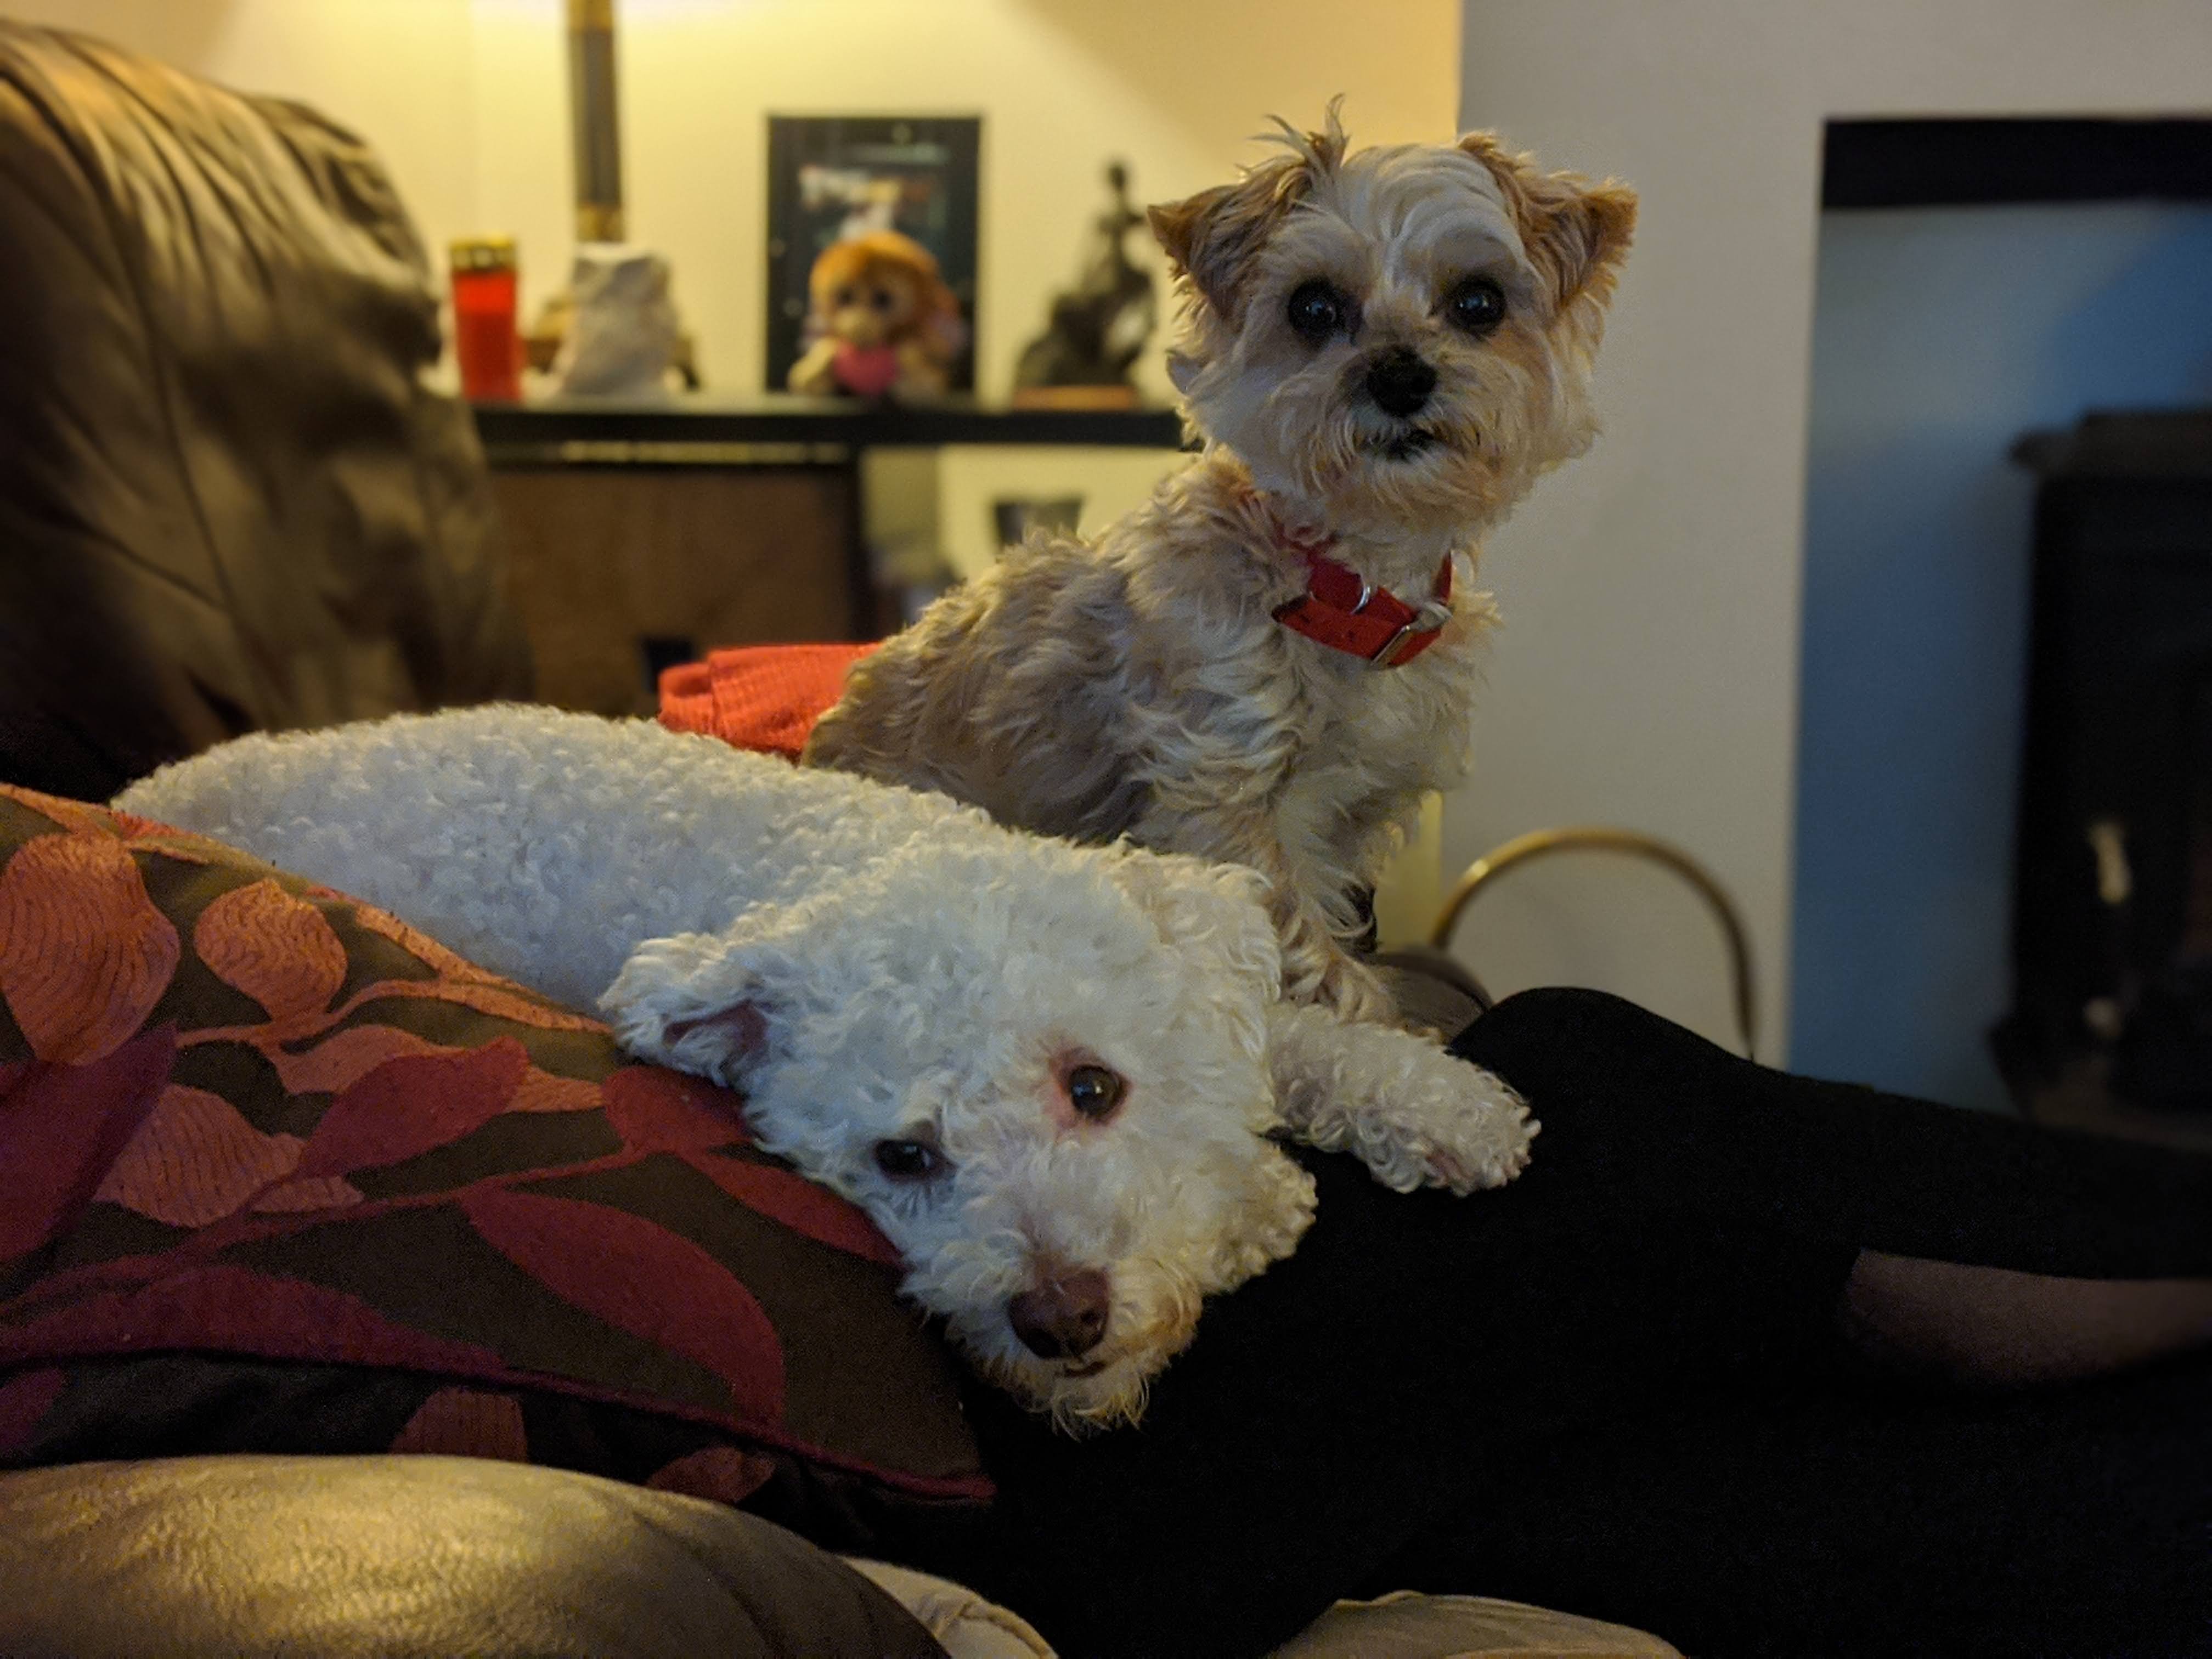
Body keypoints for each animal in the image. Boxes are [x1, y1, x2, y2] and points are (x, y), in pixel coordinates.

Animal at [121, 708, 1539, 1433]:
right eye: (903, 1160)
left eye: (1094, 1087)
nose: (1060, 1320)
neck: (832, 857)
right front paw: (1261, 1206)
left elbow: (1283, 1035)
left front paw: (1444, 1109)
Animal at [805, 107, 1637, 1026]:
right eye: (1314, 306)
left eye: (1479, 302)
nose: (1399, 375)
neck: (1346, 585)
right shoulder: (1214, 778)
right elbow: (1285, 919)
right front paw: (1360, 1010)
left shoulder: (1350, 813)